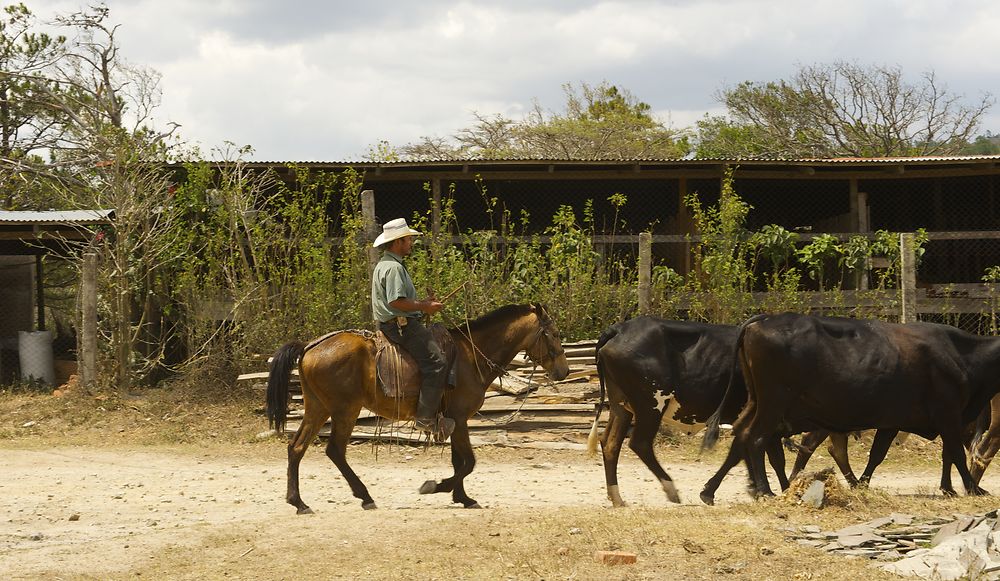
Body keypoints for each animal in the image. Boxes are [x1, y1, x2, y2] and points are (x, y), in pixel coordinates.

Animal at [264, 304, 572, 512]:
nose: (564, 372)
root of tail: (309, 347)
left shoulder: (451, 420)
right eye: (555, 333)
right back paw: (364, 496)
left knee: (297, 447)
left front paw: (462, 497)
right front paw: (437, 486)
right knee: (335, 451)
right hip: (344, 411)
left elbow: (458, 461)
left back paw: (299, 502)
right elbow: (468, 462)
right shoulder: (459, 418)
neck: (471, 356)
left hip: (318, 409)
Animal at [700, 312, 996, 502]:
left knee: (742, 434)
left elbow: (881, 454)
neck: (962, 354)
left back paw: (712, 490)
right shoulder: (948, 415)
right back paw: (764, 490)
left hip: (758, 401)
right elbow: (955, 453)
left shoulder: (899, 421)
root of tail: (761, 321)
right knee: (756, 438)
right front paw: (973, 488)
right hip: (774, 404)